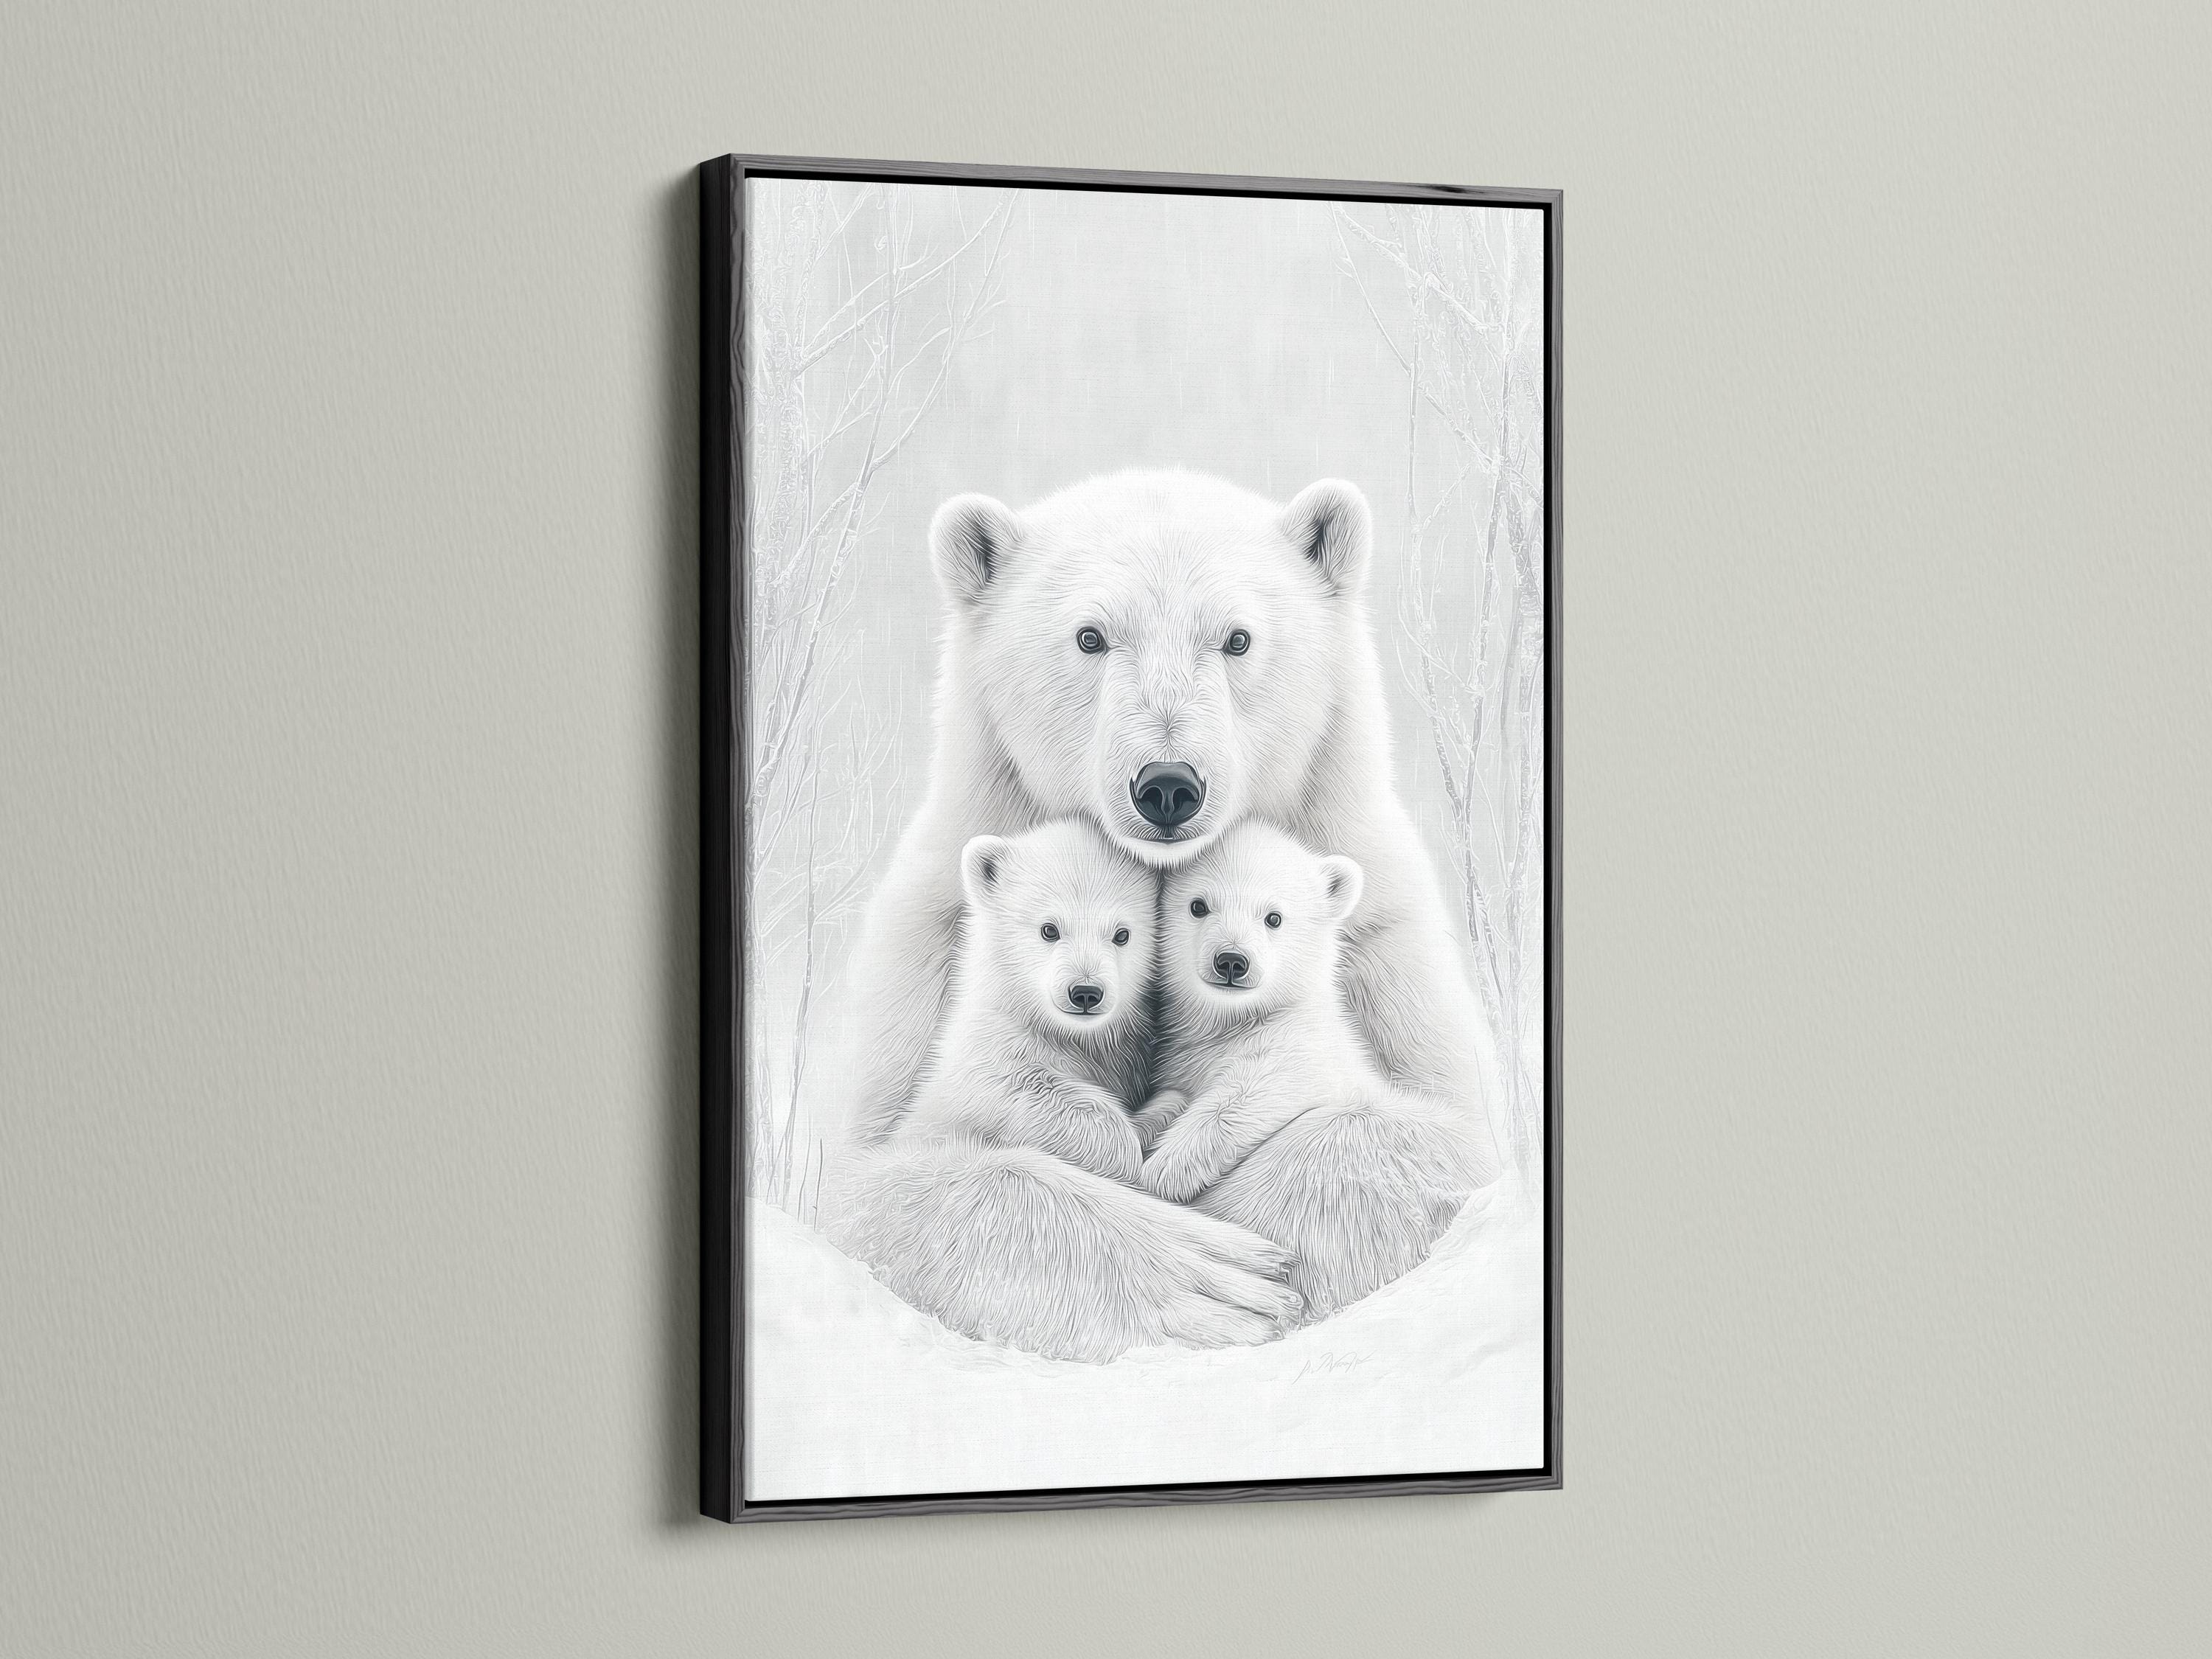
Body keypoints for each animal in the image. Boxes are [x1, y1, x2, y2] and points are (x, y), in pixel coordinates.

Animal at [900, 820, 1154, 1184]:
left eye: (1122, 934)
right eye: (1049, 929)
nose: (1086, 993)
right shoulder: (993, 1045)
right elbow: (1019, 1086)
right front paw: (1125, 1148)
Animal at [1137, 822, 1482, 1316]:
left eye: (1274, 917)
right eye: (1198, 905)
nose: (1232, 961)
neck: (1238, 1021)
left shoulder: (1306, 1047)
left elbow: (1253, 1090)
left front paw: (1164, 1173)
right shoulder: (1186, 1058)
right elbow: (1173, 1096)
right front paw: (1146, 1128)